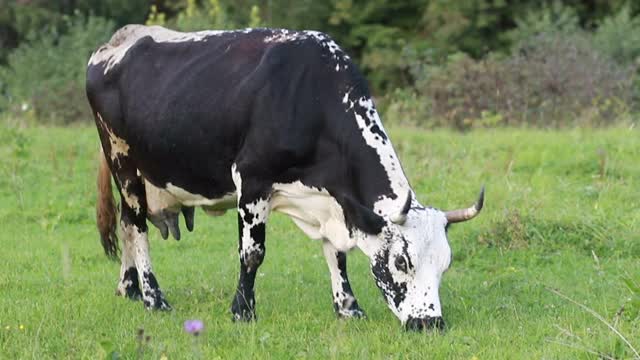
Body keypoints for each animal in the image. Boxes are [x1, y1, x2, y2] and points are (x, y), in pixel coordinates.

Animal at [86, 23, 484, 330]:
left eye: (445, 263)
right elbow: (252, 254)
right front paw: (242, 312)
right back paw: (153, 297)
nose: (429, 323)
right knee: (136, 225)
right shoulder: (251, 179)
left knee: (126, 224)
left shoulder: (334, 201)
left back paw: (129, 288)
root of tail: (120, 39)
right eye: (402, 261)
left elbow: (337, 253)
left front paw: (348, 307)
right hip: (123, 160)